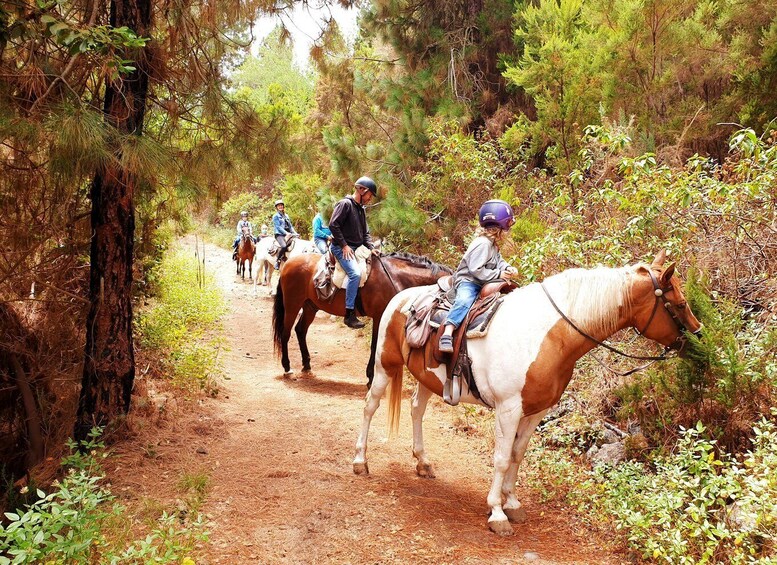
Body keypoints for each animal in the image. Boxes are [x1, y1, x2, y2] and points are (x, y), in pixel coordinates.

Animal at [274, 252, 452, 382]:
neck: (396, 277)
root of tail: (288, 263)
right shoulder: (379, 316)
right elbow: (375, 345)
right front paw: (371, 376)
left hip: (310, 306)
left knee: (300, 330)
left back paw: (306, 364)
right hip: (292, 305)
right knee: (286, 333)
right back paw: (287, 367)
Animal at [354, 251, 704, 532]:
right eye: (679, 303)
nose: (698, 339)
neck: (548, 336)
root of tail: (402, 298)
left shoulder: (537, 410)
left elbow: (517, 455)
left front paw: (512, 503)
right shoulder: (508, 409)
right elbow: (500, 458)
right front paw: (497, 513)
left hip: (428, 378)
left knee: (416, 408)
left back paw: (423, 462)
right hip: (385, 365)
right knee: (370, 406)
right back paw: (360, 461)